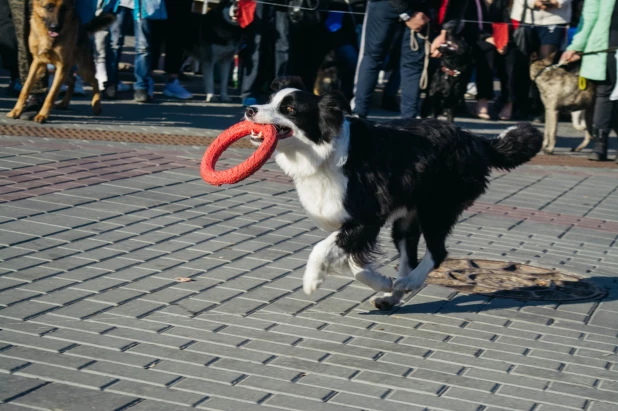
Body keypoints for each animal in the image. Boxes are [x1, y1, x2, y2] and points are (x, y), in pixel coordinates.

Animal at [244, 77, 540, 310]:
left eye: (289, 109)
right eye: (269, 100)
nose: (249, 109)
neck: (322, 152)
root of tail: (475, 139)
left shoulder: (367, 218)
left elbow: (321, 250)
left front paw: (311, 280)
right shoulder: (352, 224)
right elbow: (353, 262)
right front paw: (382, 282)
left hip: (436, 208)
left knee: (437, 252)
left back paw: (409, 282)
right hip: (407, 221)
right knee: (410, 256)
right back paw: (393, 294)